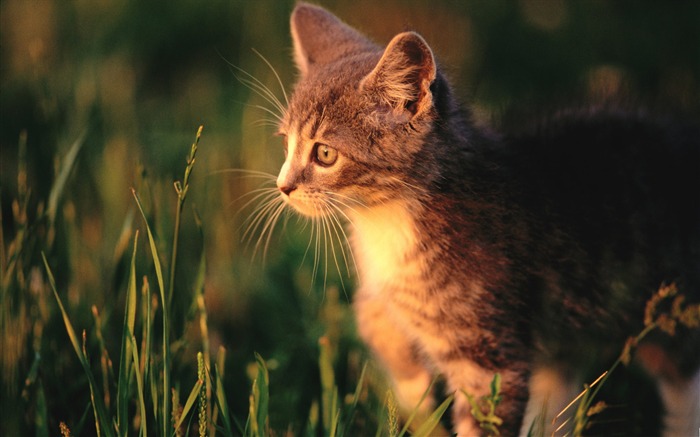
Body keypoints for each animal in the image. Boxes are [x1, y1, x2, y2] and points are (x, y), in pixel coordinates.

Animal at [270, 2, 700, 432]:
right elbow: (373, 315)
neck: (385, 219)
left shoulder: (488, 353)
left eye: (325, 154)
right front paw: (410, 383)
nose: (282, 186)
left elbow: (484, 416)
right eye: (286, 144)